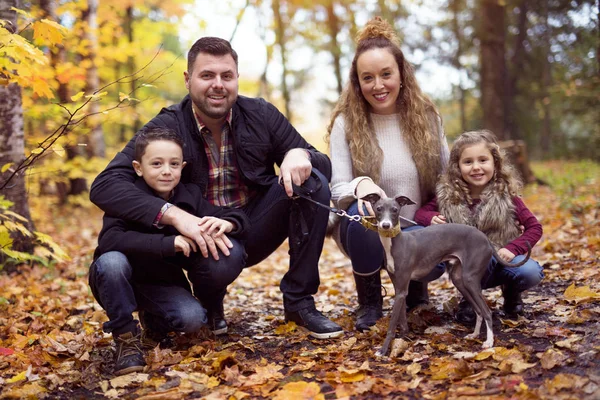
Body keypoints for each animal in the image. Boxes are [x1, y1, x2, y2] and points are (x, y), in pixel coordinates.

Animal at [364, 193, 532, 356]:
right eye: (378, 208)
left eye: (395, 210)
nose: (386, 225)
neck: (396, 243)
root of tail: (485, 238)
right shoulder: (399, 288)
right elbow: (402, 318)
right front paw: (404, 339)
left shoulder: (401, 287)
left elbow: (392, 325)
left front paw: (383, 350)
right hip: (460, 280)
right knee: (478, 310)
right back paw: (474, 334)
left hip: (469, 279)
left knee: (486, 311)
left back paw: (489, 342)